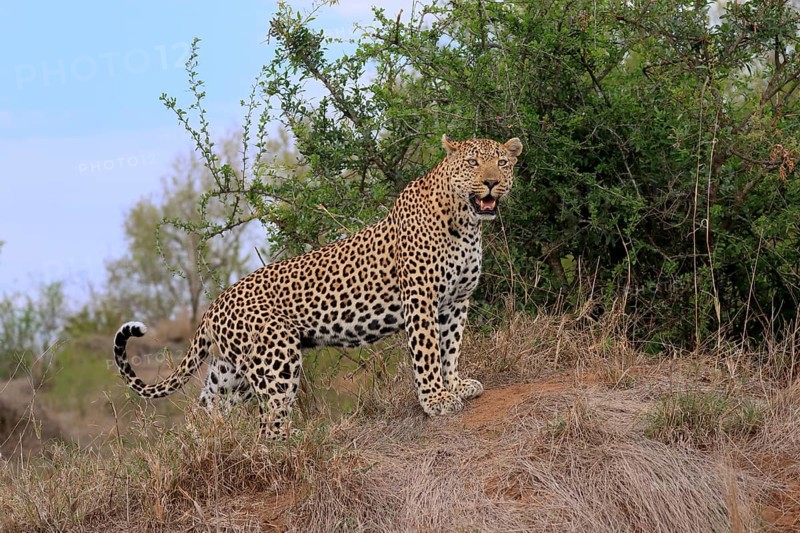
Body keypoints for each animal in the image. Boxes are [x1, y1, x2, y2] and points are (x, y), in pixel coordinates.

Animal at [113, 135, 523, 439]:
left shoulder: (456, 301)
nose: (491, 182)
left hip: (231, 373)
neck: (467, 224)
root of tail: (214, 306)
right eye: (473, 163)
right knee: (268, 424)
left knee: (208, 411)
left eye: (502, 163)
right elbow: (427, 353)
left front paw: (455, 385)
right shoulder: (421, 299)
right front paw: (436, 400)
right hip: (277, 360)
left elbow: (450, 347)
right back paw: (297, 444)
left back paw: (211, 448)